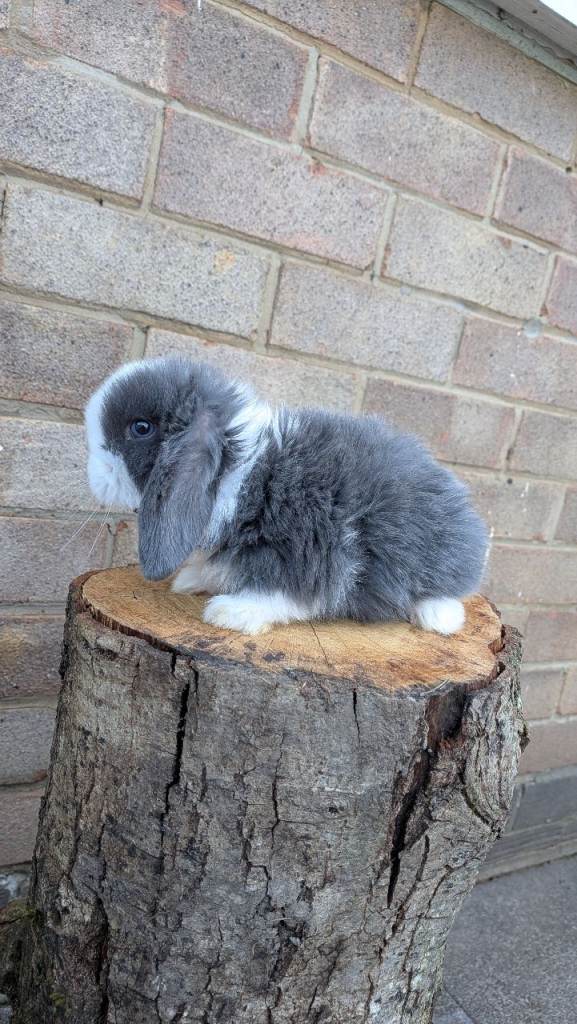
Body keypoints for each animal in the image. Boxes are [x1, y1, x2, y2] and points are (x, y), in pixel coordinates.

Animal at [85, 355, 488, 636]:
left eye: (140, 428)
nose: (94, 475)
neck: (239, 474)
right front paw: (191, 580)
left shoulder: (308, 552)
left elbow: (282, 594)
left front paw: (230, 613)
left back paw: (437, 618)